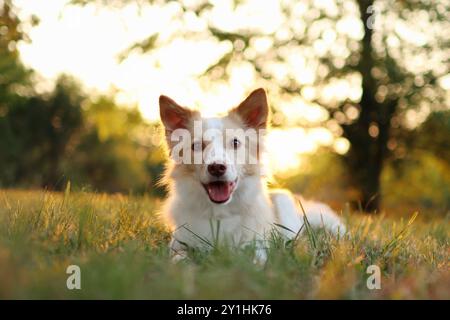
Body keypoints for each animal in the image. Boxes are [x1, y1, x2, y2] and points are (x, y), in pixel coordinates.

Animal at [158, 88, 344, 262]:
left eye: (235, 142)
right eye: (196, 146)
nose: (217, 168)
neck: (220, 213)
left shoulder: (257, 245)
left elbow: (255, 260)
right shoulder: (179, 244)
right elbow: (178, 258)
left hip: (282, 199)